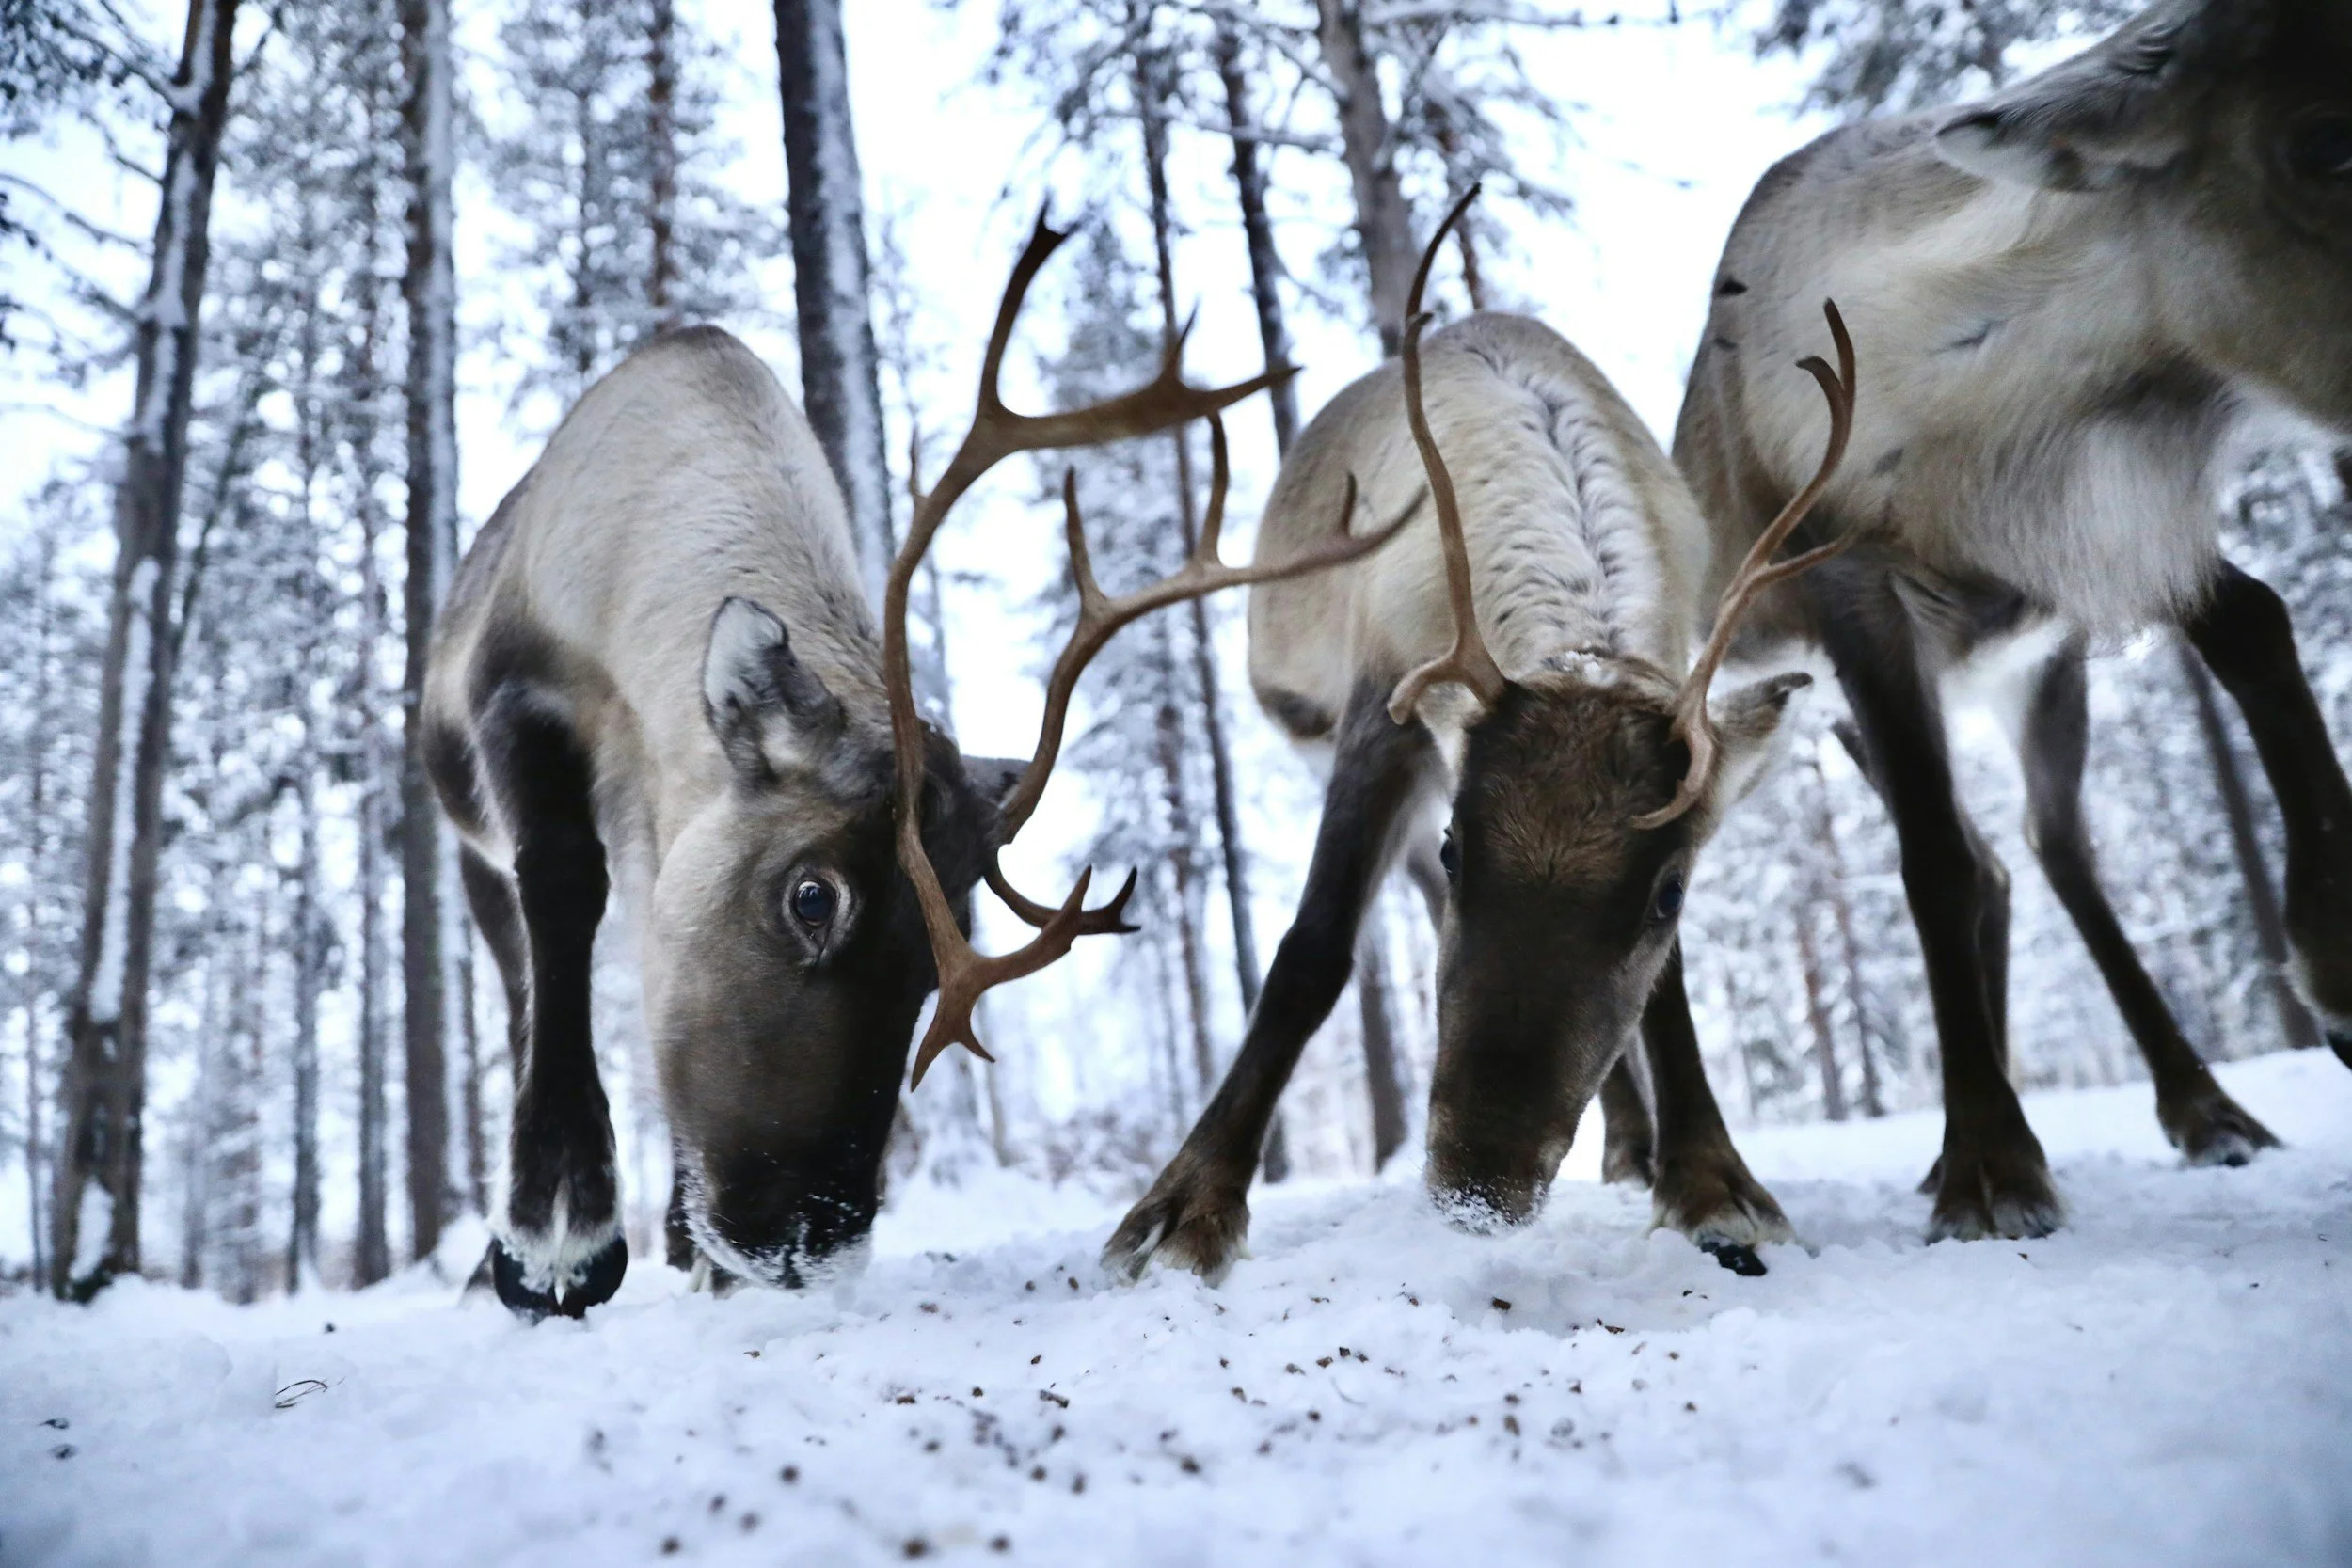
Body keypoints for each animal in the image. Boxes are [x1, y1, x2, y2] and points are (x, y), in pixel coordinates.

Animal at [421, 212, 1400, 1318]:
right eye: (812, 896)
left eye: (941, 956)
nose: (807, 1240)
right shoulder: (513, 700)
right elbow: (560, 898)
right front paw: (556, 1244)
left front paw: (676, 1247)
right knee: (525, 980)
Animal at [1104, 189, 1862, 1283]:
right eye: (1466, 848)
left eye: (1668, 893)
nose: (1477, 1191)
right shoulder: (1383, 717)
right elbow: (1309, 952)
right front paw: (1182, 1208)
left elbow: (1665, 991)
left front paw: (1712, 1185)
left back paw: (1631, 1145)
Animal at [1643, 0, 2352, 1245]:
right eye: (2320, 142)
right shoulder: (1860, 595)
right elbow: (1928, 858)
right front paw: (1987, 1163)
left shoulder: (2093, 553)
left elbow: (2258, 621)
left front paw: (2342, 959)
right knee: (1954, 854)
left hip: (2020, 680)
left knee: (2045, 849)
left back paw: (2203, 1106)